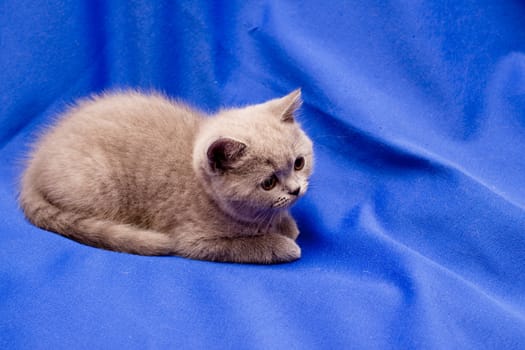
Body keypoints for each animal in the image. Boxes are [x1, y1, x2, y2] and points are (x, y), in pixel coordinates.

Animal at [20, 89, 314, 264]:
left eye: (299, 163)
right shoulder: (194, 240)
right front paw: (283, 244)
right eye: (268, 183)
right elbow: (242, 246)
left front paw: (285, 224)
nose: (295, 190)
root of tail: (33, 166)